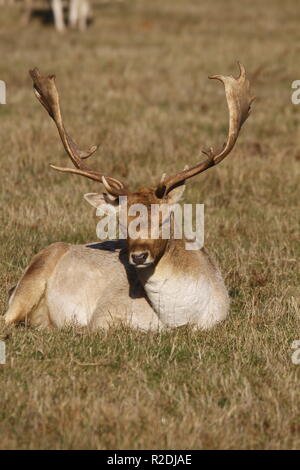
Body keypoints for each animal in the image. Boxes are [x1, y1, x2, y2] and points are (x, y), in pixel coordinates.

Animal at [3, 64, 254, 332]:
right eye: (122, 223)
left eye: (164, 220)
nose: (139, 256)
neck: (179, 319)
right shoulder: (104, 314)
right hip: (32, 276)